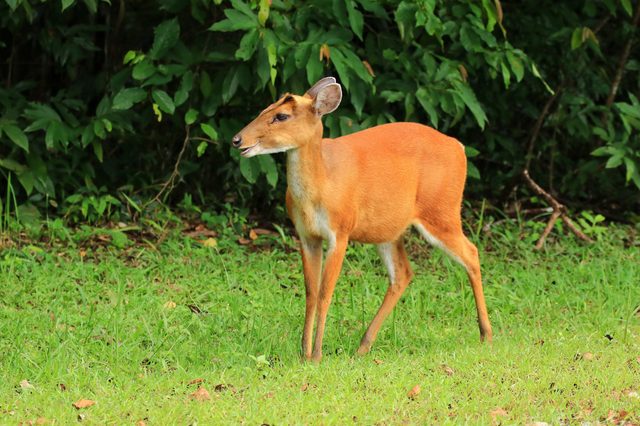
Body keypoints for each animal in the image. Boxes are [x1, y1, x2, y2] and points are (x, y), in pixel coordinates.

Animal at [232, 77, 492, 362]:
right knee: (403, 273)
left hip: (441, 210)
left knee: (471, 253)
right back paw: (363, 346)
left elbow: (325, 293)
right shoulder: (306, 235)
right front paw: (304, 353)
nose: (237, 139)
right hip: (389, 229)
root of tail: (459, 147)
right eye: (264, 109)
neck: (322, 184)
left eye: (281, 116)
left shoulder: (341, 230)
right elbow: (310, 293)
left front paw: (317, 355)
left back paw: (486, 334)